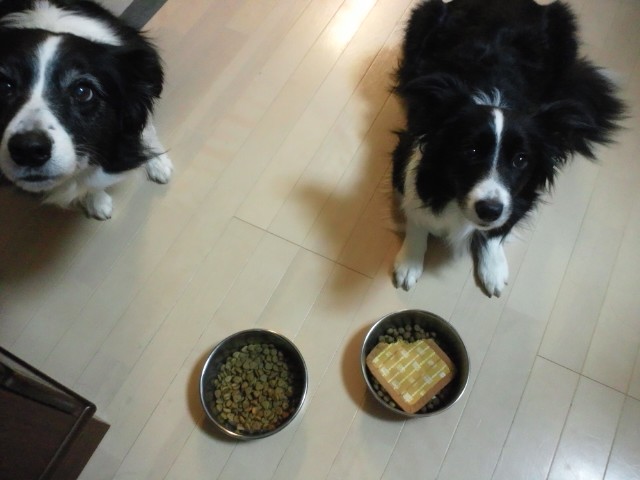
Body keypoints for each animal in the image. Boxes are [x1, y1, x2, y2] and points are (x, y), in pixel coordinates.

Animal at [0, 0, 172, 219]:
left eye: (82, 91)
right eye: (4, 86)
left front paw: (158, 162)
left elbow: (146, 131)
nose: (28, 149)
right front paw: (96, 201)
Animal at [391, 0, 625, 297]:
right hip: (424, 14)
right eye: (470, 151)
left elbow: (499, 228)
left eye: (521, 160)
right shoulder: (407, 153)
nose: (489, 210)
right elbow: (415, 210)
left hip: (564, 26)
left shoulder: (520, 195)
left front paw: (493, 268)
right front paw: (409, 261)